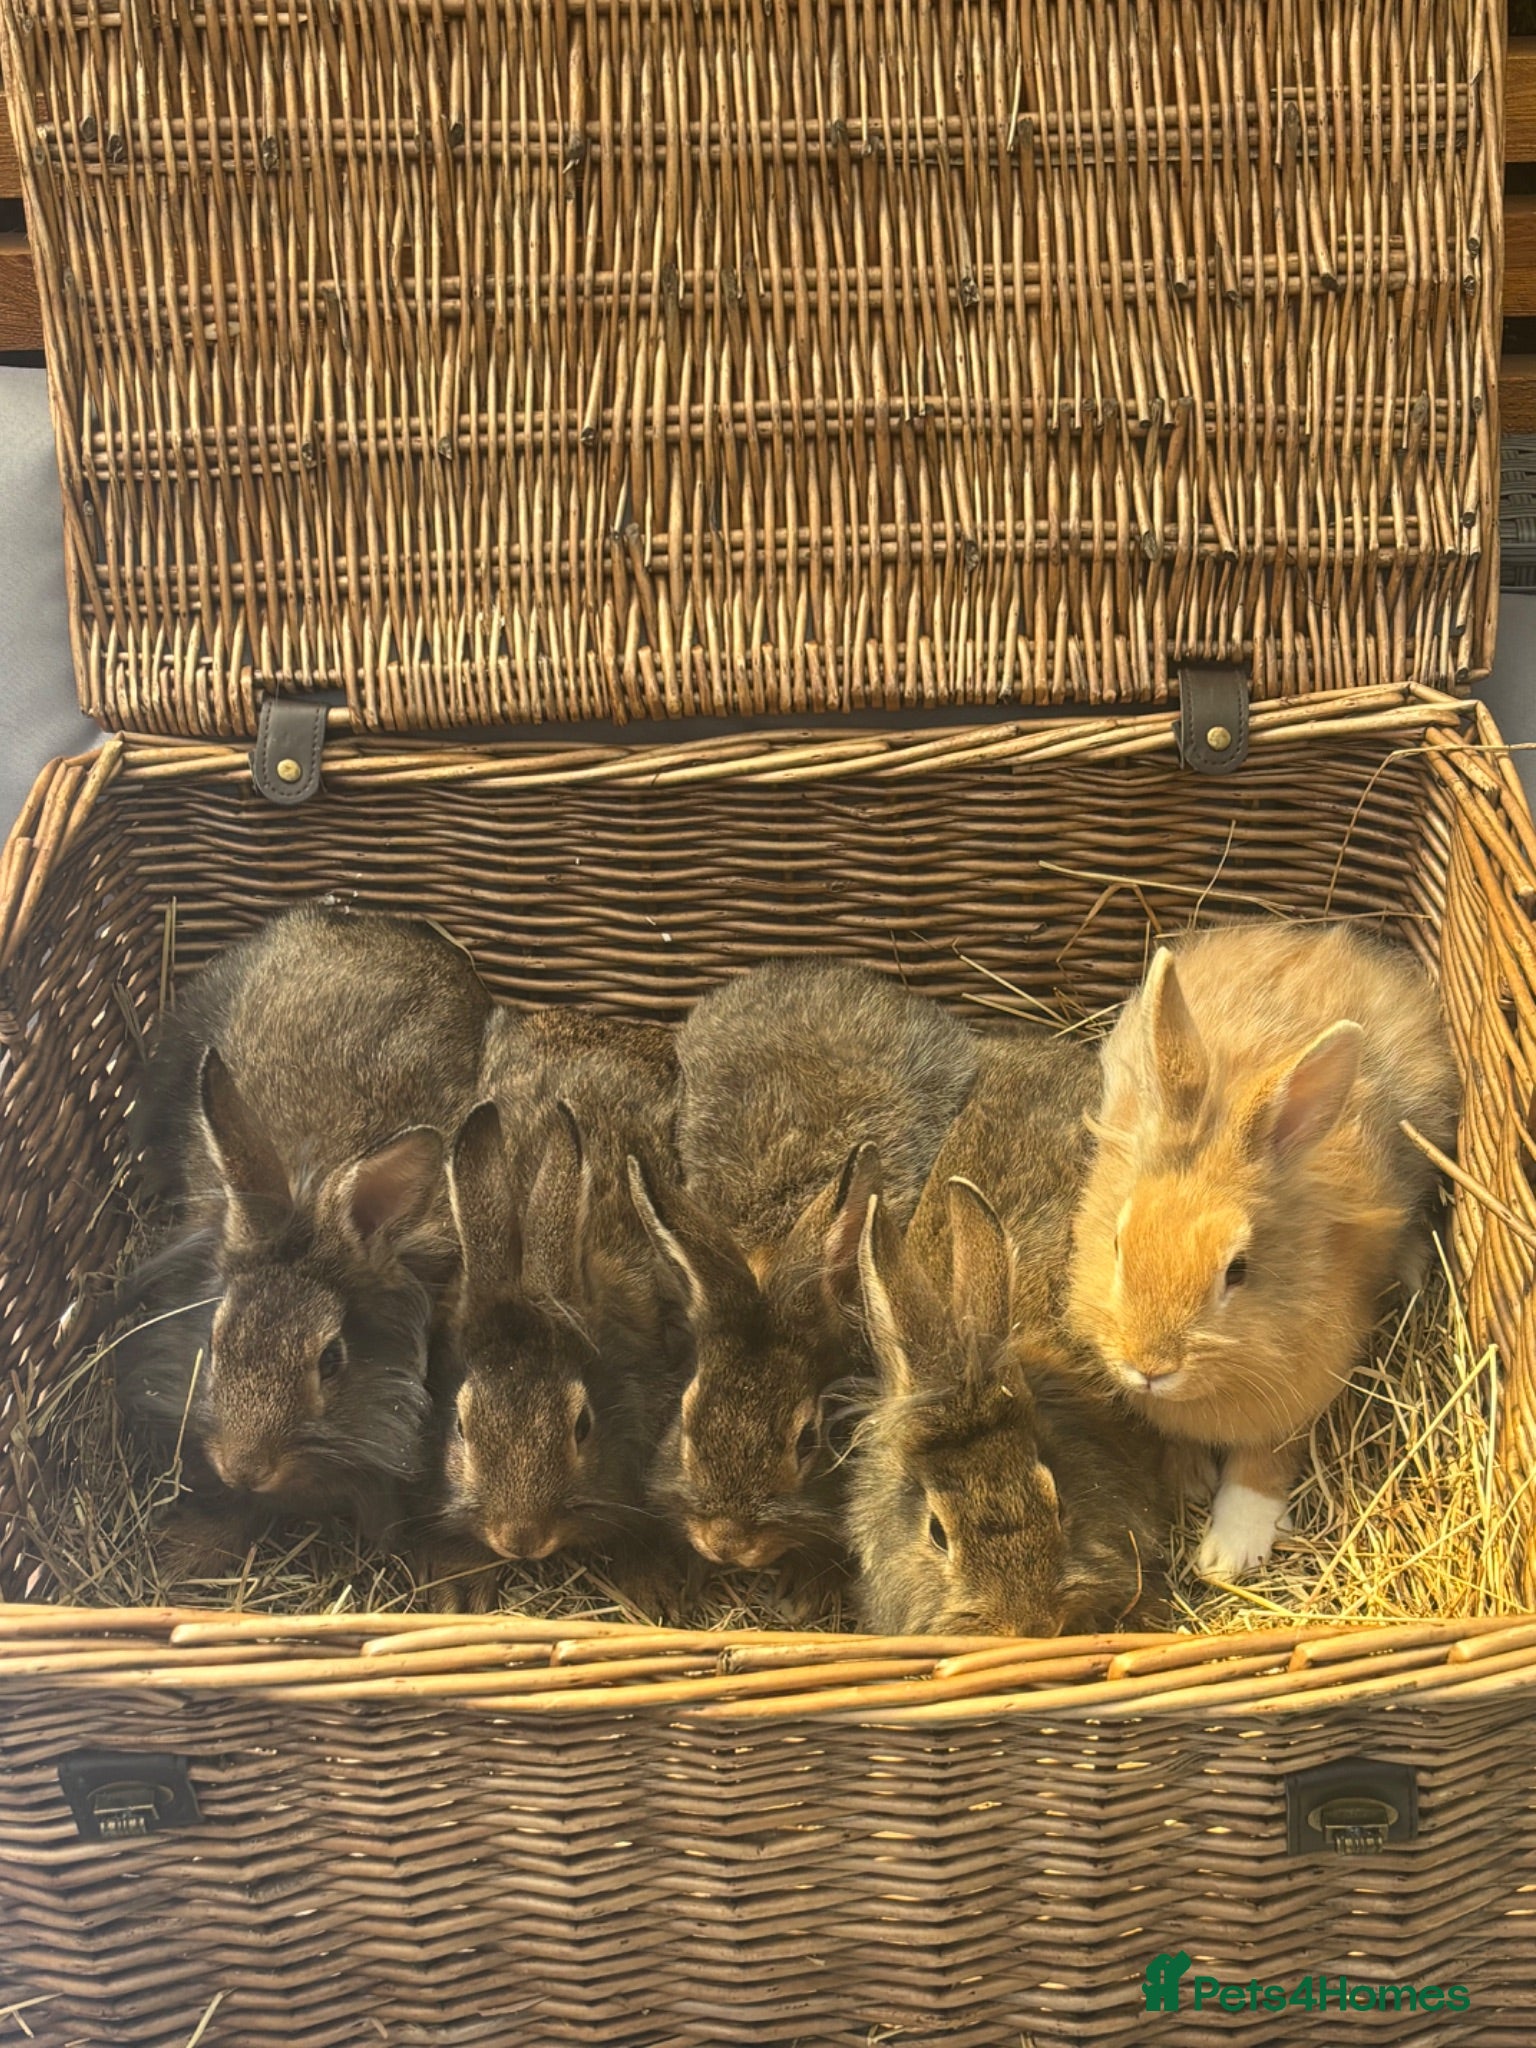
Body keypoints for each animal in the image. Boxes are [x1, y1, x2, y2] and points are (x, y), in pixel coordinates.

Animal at [1066, 919, 1461, 1582]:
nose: (1149, 1366)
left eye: (1238, 1271)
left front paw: (1230, 1553)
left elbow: (1265, 1463)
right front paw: (1187, 1479)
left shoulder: (1301, 1393)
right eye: (1118, 1242)